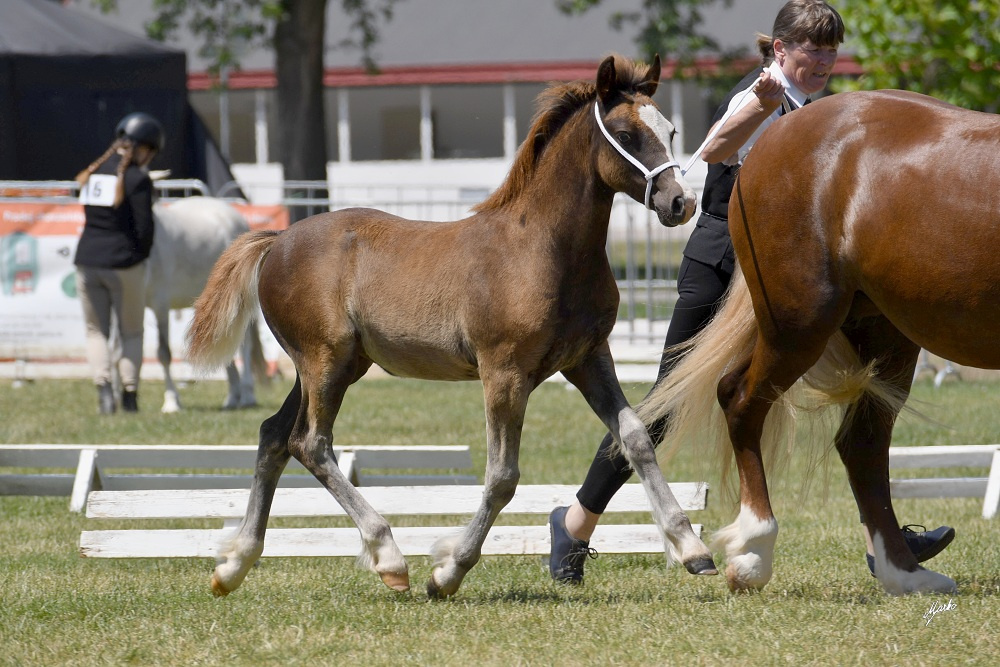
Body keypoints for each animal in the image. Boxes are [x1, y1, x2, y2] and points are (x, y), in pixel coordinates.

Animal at [147, 197, 266, 412]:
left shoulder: (160, 303)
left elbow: (163, 353)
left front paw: (171, 402)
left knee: (245, 346)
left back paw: (247, 395)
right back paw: (232, 398)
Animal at [186, 54, 719, 598]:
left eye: (671, 131)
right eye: (627, 134)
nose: (680, 203)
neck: (544, 250)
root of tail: (277, 240)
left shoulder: (588, 358)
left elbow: (634, 439)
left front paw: (692, 549)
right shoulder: (503, 371)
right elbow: (502, 476)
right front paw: (448, 571)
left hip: (333, 365)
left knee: (274, 435)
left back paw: (233, 566)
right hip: (324, 361)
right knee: (310, 444)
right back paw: (389, 556)